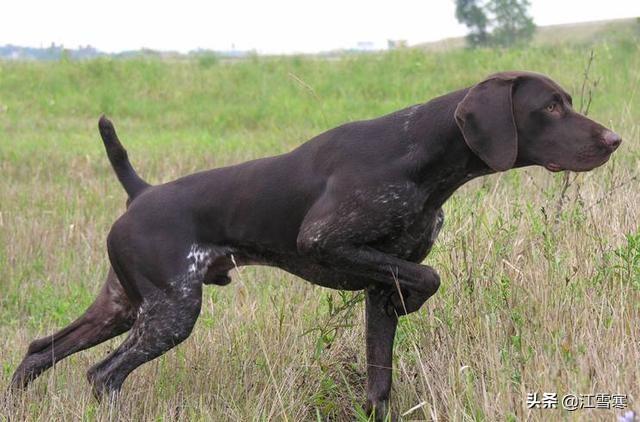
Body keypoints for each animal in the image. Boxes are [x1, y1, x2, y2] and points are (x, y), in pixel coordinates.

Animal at [10, 71, 620, 420]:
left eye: (566, 101)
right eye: (550, 107)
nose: (615, 139)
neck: (422, 155)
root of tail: (142, 193)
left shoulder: (378, 284)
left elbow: (379, 380)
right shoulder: (325, 244)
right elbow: (429, 278)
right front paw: (417, 299)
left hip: (124, 306)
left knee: (40, 349)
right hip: (170, 312)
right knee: (103, 375)